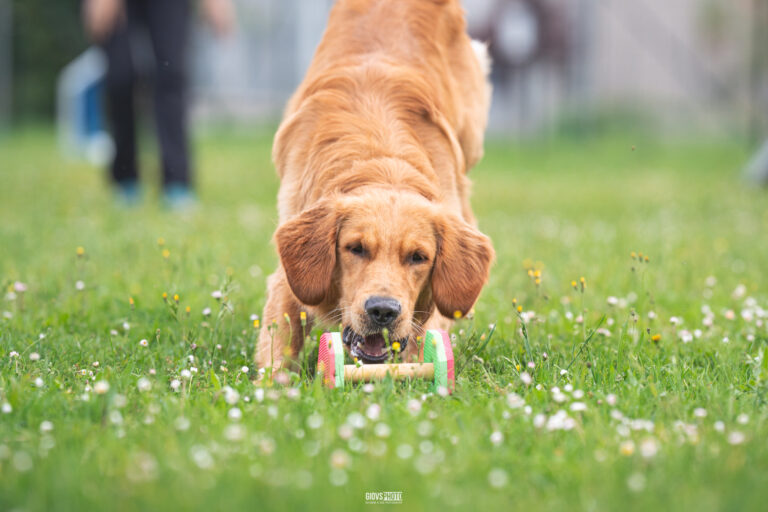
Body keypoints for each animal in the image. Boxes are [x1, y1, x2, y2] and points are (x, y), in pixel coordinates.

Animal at [258, 0, 496, 370]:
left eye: (418, 257)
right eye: (355, 248)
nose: (383, 311)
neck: (383, 161)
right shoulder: (290, 277)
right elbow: (280, 346)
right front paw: (274, 382)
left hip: (470, 139)